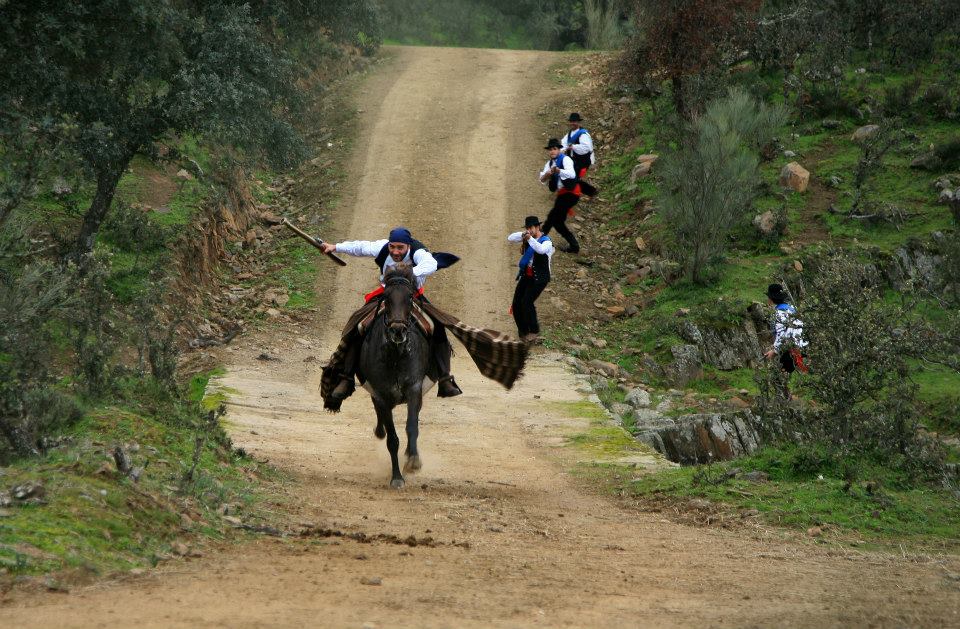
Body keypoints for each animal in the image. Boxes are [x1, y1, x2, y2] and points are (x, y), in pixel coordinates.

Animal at [358, 262, 434, 488]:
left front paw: (414, 460)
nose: (398, 330)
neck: (396, 356)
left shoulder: (414, 389)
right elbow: (392, 439)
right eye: (386, 297)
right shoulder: (381, 395)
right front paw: (397, 477)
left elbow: (412, 427)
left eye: (409, 297)